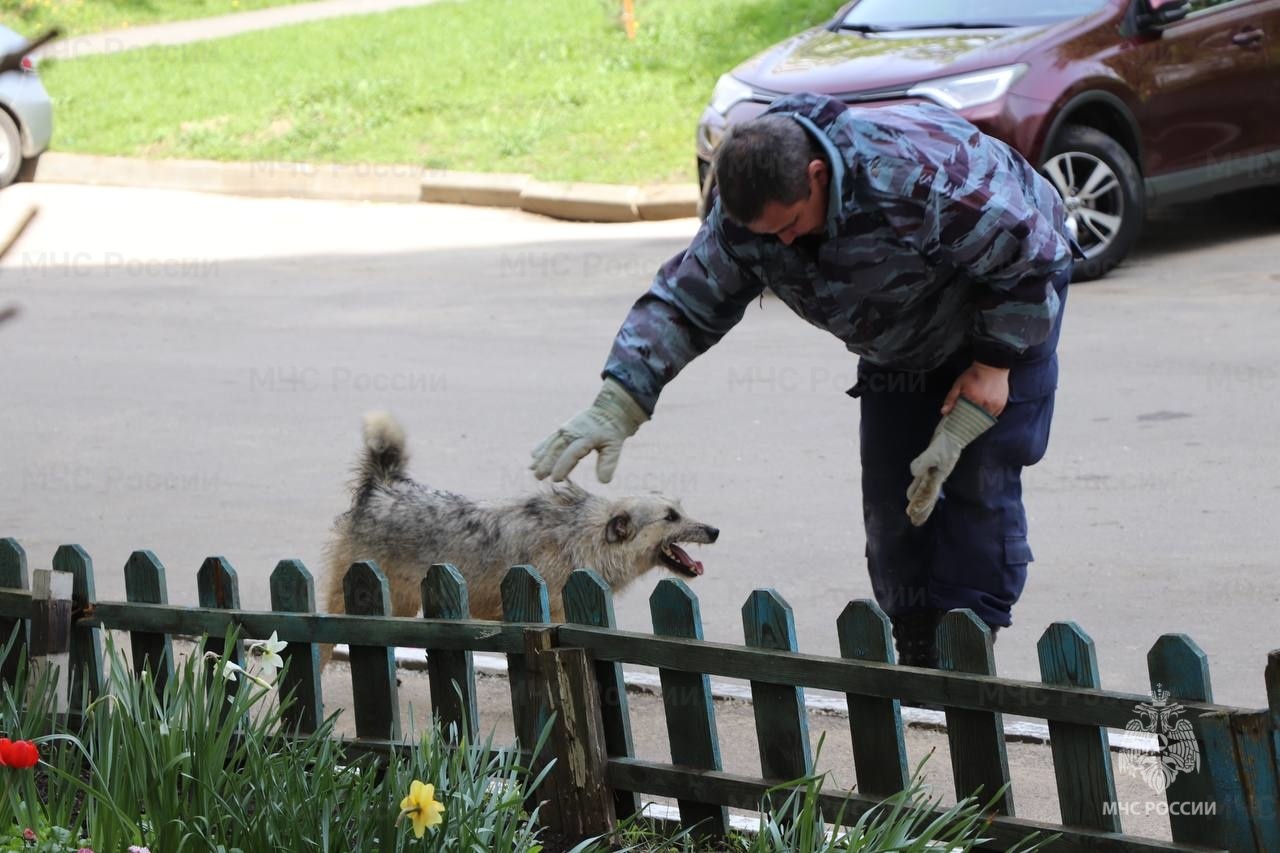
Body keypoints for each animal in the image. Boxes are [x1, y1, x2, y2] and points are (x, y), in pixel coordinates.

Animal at [320, 409, 721, 666]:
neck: (585, 536)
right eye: (670, 517)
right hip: (349, 598)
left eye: (680, 510)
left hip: (399, 602)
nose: (715, 530)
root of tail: (384, 486)